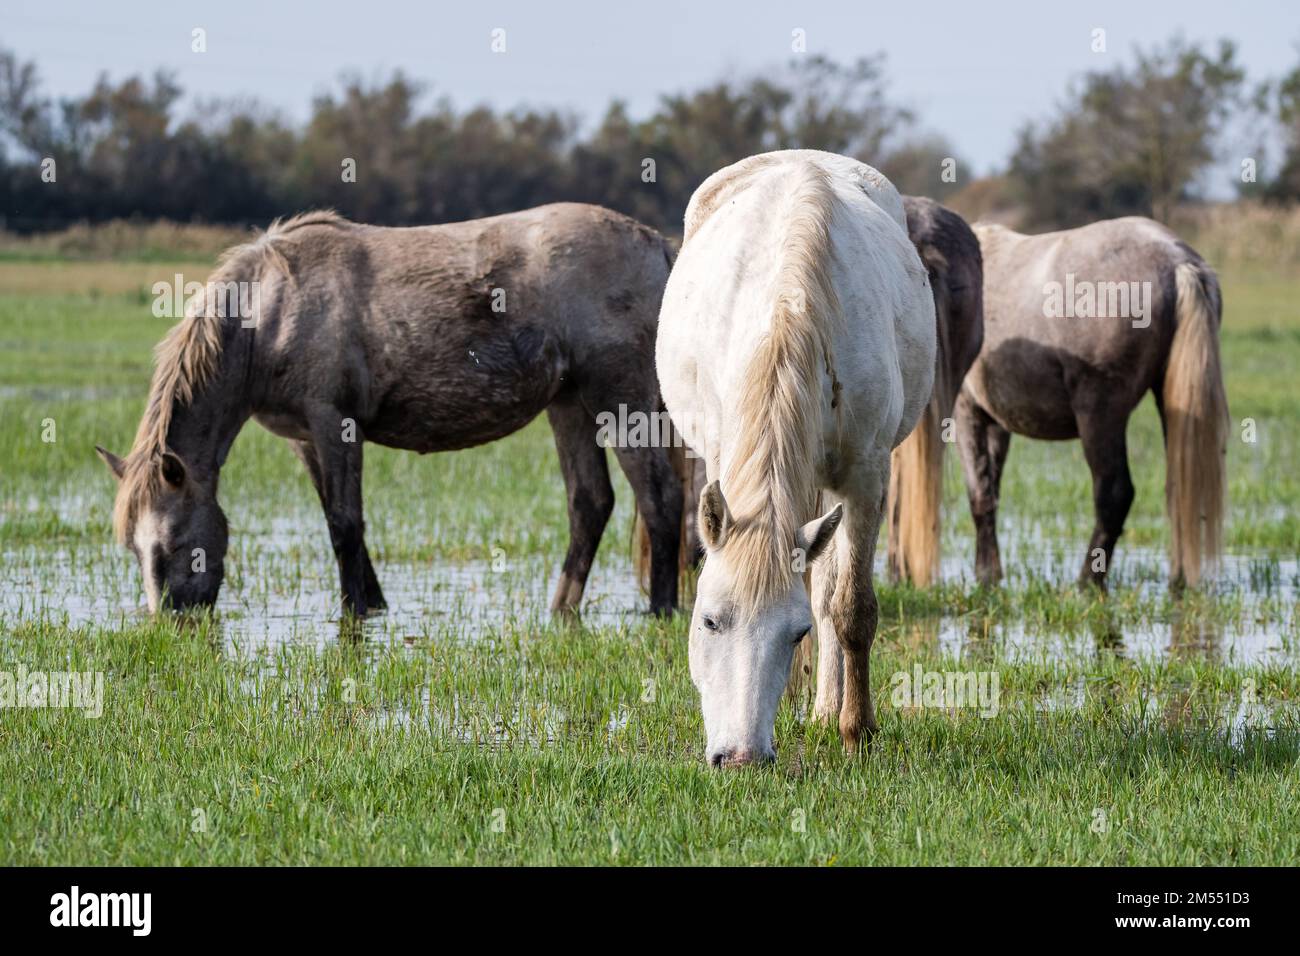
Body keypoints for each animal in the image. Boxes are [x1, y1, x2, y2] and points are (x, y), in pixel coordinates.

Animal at [96, 204, 684, 618]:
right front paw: (374, 602)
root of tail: (658, 245)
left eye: (172, 544)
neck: (270, 311)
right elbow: (336, 516)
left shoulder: (335, 424)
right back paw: (562, 609)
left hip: (619, 403)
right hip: (570, 404)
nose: (170, 619)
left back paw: (660, 610)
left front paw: (354, 611)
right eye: (132, 548)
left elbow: (343, 522)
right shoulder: (304, 438)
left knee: (659, 498)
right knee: (590, 503)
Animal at [656, 150, 936, 766]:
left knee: (828, 590)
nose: (741, 758)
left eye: (794, 633)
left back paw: (829, 710)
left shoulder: (864, 478)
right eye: (709, 621)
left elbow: (849, 608)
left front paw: (857, 732)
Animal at [960, 217, 1228, 590]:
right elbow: (992, 488)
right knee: (1180, 488)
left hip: (1099, 413)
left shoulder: (966, 411)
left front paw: (986, 577)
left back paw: (1088, 582)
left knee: (1115, 493)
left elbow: (979, 492)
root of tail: (1178, 261)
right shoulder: (997, 421)